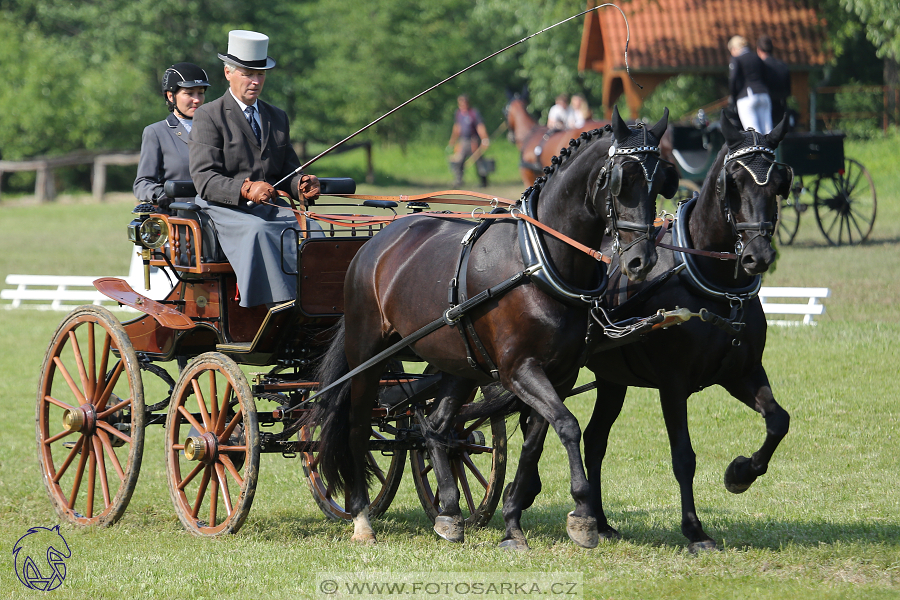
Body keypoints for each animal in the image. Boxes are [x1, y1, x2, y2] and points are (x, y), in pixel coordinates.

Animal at [308, 106, 676, 544]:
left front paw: (514, 521)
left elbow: (536, 440)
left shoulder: (560, 375)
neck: (536, 261)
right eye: (620, 179)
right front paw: (583, 515)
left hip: (458, 363)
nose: (641, 261)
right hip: (368, 353)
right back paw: (362, 517)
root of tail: (375, 243)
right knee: (357, 428)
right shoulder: (519, 370)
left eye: (660, 180)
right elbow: (568, 426)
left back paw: (449, 512)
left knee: (437, 427)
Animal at [472, 115, 796, 552]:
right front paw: (695, 530)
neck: (715, 286)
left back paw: (597, 519)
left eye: (779, 181)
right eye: (734, 180)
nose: (757, 257)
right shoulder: (673, 384)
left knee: (592, 439)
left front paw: (740, 473)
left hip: (610, 378)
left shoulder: (742, 372)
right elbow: (684, 456)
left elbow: (779, 420)